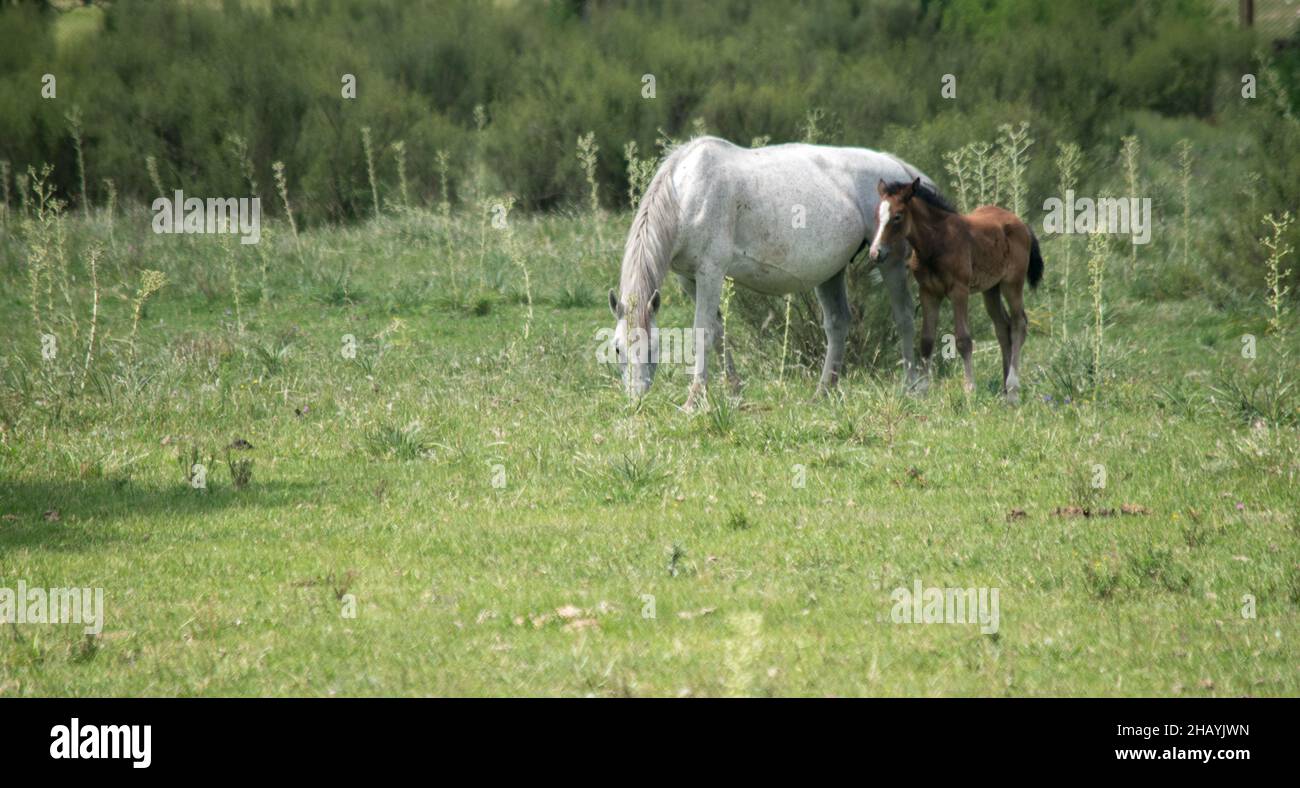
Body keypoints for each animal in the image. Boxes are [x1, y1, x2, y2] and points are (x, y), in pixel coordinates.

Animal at [607, 136, 934, 411]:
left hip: (890, 262)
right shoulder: (689, 279)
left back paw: (910, 386)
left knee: (904, 317)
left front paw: (694, 400)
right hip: (831, 273)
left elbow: (704, 331)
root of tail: (897, 169)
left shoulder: (710, 272)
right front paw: (734, 390)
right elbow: (719, 331)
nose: (636, 398)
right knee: (838, 323)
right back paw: (823, 391)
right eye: (618, 349)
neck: (688, 192)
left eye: (653, 348)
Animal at [867, 177, 1044, 403]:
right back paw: (1005, 390)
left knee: (1018, 323)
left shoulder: (959, 290)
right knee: (1002, 327)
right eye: (877, 216)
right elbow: (926, 340)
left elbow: (963, 340)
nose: (875, 253)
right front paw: (923, 392)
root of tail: (1022, 224)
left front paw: (969, 390)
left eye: (897, 216)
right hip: (991, 289)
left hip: (1012, 283)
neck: (935, 243)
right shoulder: (928, 292)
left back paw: (1012, 389)